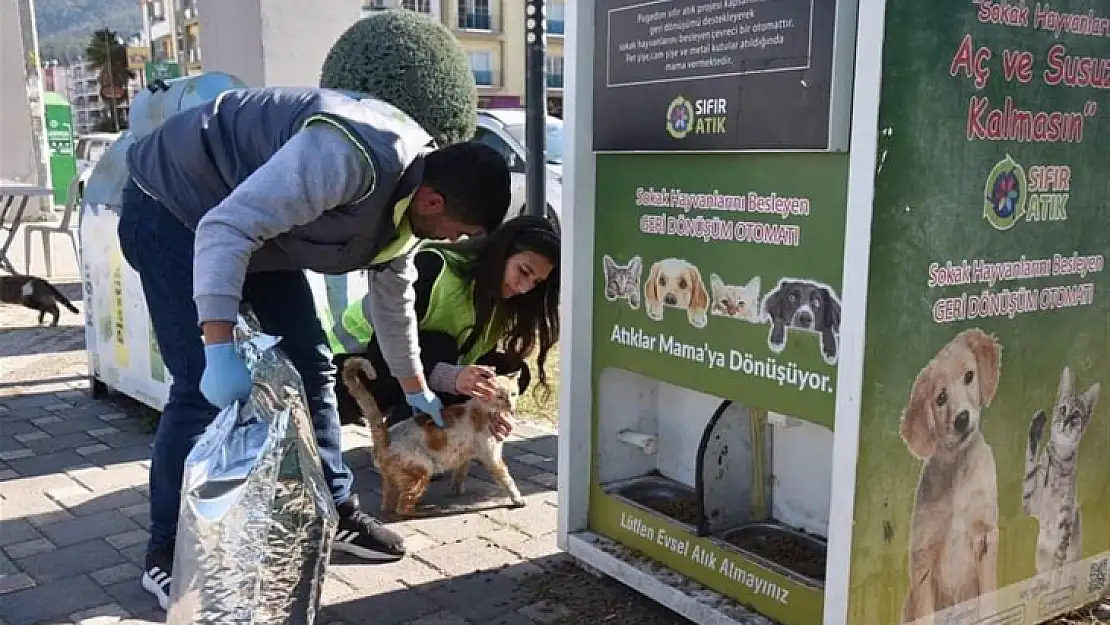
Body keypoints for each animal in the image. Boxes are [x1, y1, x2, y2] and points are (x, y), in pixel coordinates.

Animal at [339, 355, 526, 515]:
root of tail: (385, 436)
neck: (484, 410)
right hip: (422, 470)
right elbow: (507, 479)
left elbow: (460, 474)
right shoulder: (491, 457)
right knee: (402, 506)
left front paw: (457, 491)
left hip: (393, 479)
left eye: (514, 394)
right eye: (500, 396)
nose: (510, 405)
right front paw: (517, 499)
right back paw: (421, 510)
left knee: (389, 503)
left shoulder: (465, 456)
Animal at [1021, 366, 1101, 577]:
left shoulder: (1065, 521)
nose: (1065, 421)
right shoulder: (1031, 505)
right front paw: (1037, 426)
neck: (1058, 461)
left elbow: (1059, 559)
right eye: (1063, 409)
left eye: (1076, 415)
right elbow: (1030, 465)